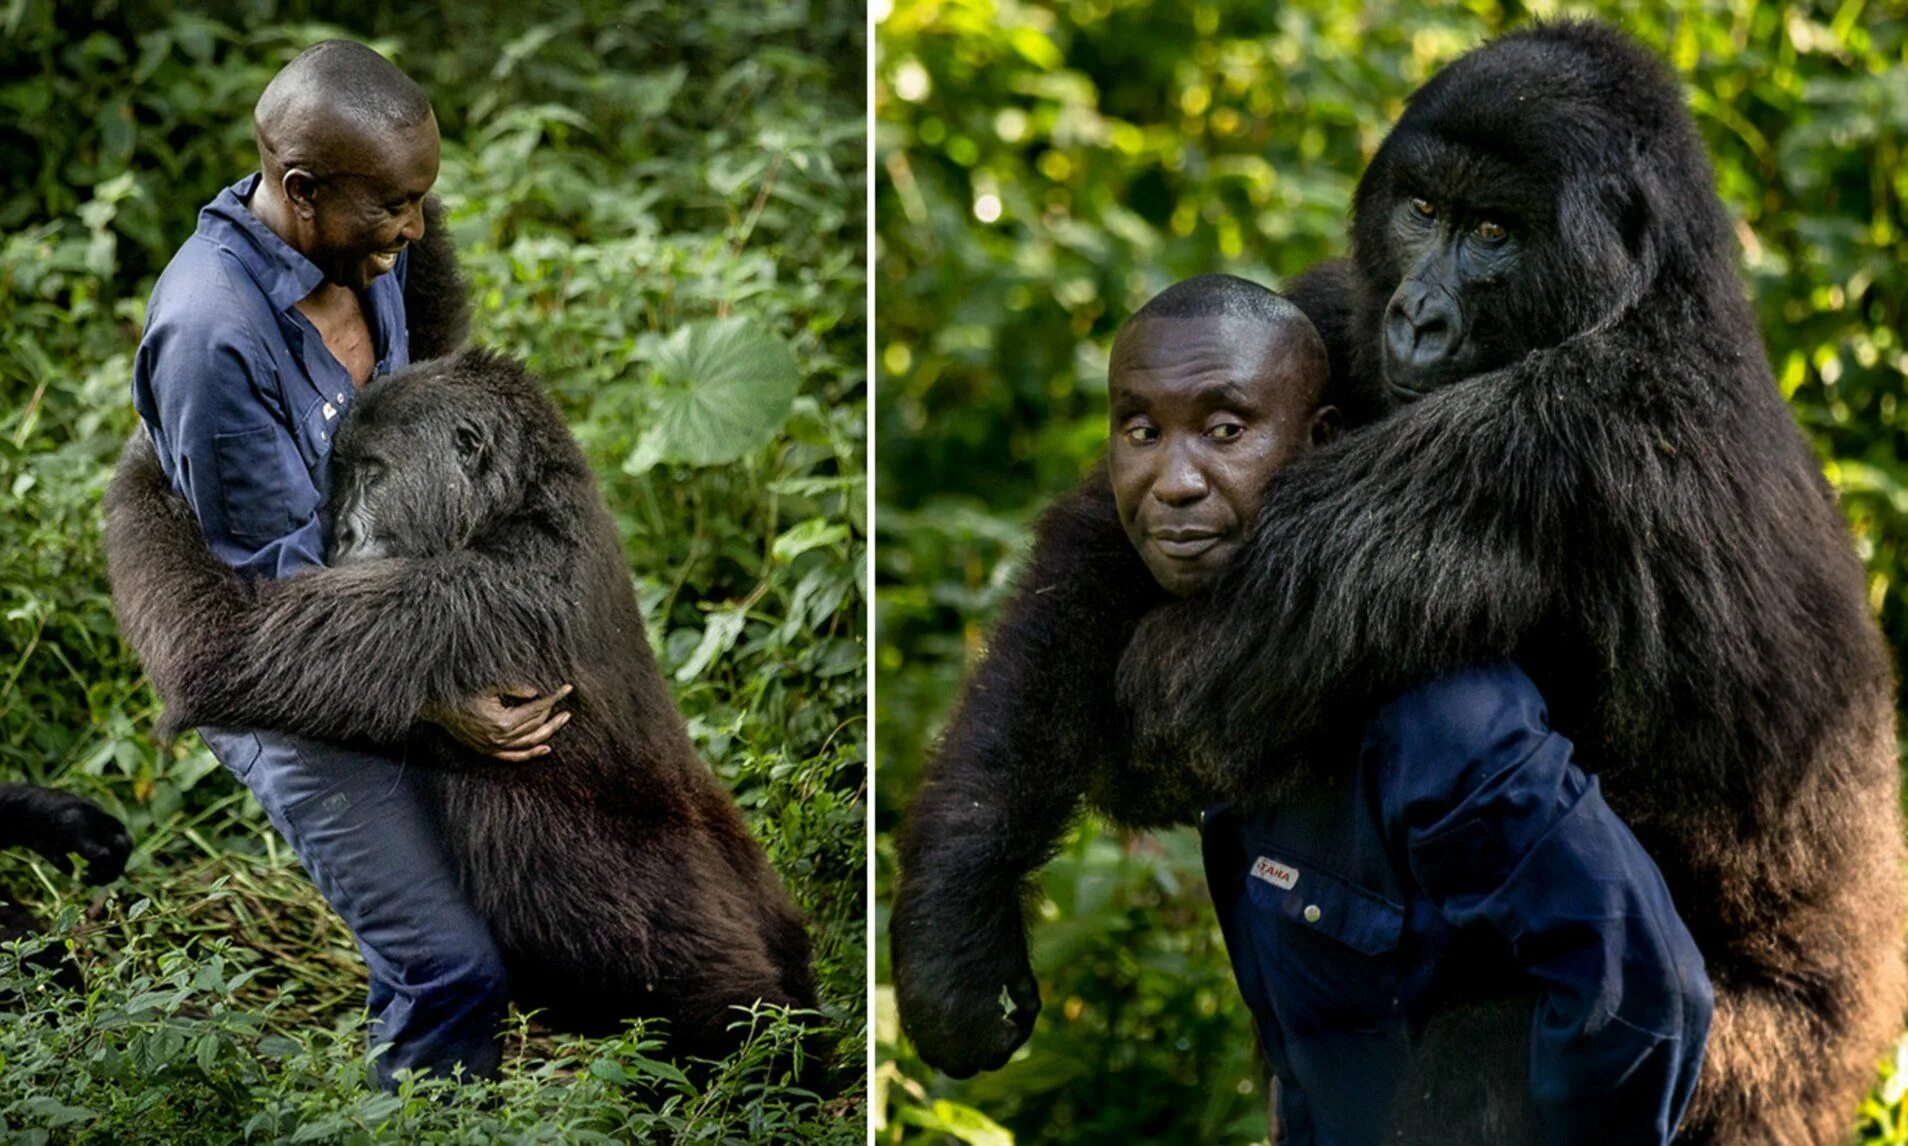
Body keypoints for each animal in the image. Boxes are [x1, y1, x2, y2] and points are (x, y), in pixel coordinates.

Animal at [102, 343, 820, 1060]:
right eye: (342, 476)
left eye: (372, 474)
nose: (342, 536)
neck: (521, 500)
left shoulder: (474, 592)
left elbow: (220, 647)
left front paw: (141, 461)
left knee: (734, 1021)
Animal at [892, 20, 1908, 1144]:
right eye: (1422, 211)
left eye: (1496, 231)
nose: (1419, 319)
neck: (1650, 289)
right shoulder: (1338, 298)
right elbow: (1095, 556)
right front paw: (957, 926)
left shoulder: (1550, 443)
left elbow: (1167, 695)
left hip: (1763, 1087)